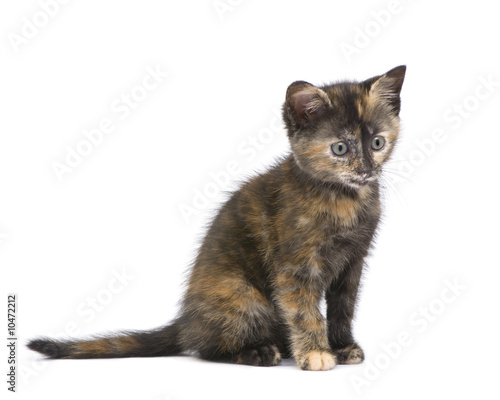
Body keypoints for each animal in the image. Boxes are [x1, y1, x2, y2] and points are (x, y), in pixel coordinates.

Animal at [27, 65, 406, 372]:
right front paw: (316, 353)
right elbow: (304, 311)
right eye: (339, 148)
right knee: (206, 346)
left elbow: (343, 308)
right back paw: (260, 352)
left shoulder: (353, 262)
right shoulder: (295, 267)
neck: (344, 200)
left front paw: (342, 346)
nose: (366, 170)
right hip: (243, 295)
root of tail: (186, 319)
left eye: (377, 142)